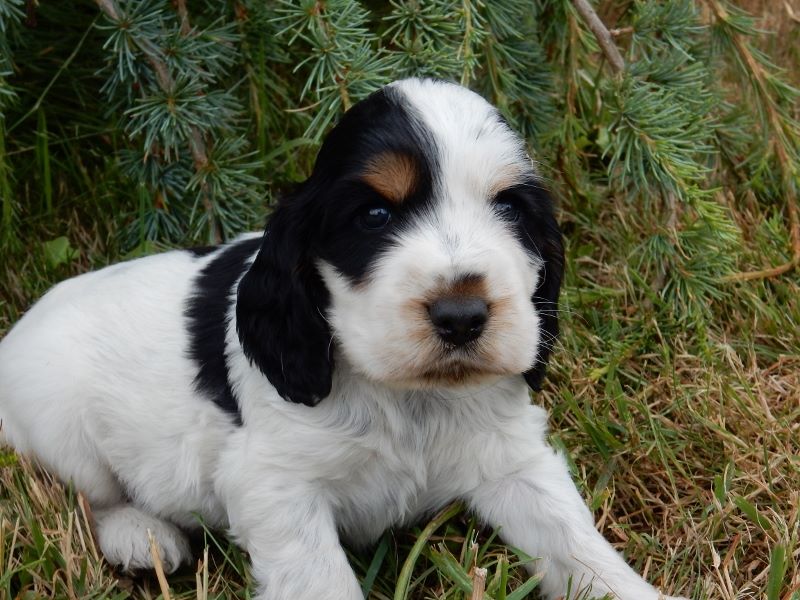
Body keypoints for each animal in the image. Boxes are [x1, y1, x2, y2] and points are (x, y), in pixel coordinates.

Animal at [0, 78, 687, 600]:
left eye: (510, 209)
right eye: (374, 216)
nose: (462, 316)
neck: (408, 395)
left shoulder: (514, 457)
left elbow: (575, 542)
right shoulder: (277, 486)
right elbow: (319, 579)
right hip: (62, 425)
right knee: (93, 497)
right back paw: (144, 540)